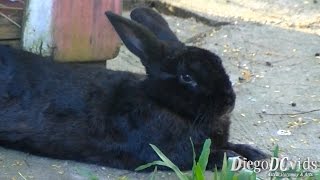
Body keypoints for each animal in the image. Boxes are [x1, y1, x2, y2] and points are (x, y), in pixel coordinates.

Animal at [0, 7, 266, 170]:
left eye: (219, 62)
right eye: (187, 77)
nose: (229, 101)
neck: (161, 102)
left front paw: (258, 154)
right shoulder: (166, 152)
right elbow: (204, 155)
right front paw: (235, 158)